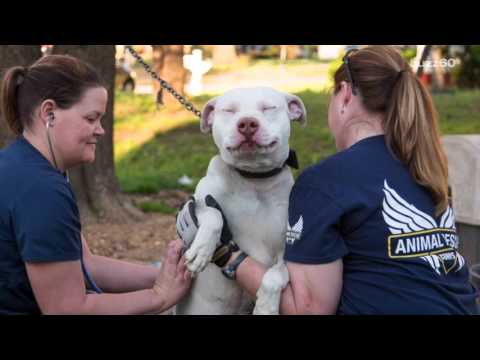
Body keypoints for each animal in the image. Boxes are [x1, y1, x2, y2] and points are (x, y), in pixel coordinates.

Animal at [174, 87, 306, 316]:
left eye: (268, 107)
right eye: (229, 110)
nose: (247, 123)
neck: (253, 180)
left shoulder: (286, 253)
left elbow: (276, 274)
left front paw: (266, 306)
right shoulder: (196, 203)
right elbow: (213, 214)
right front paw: (202, 250)